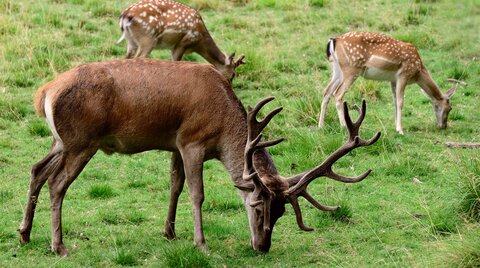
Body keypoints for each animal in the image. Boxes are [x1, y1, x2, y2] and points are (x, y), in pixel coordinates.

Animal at [16, 58, 380, 255]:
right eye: (257, 206)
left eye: (281, 213)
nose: (262, 246)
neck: (222, 127)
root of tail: (45, 92)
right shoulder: (192, 141)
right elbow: (196, 193)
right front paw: (200, 243)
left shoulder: (175, 144)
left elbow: (175, 186)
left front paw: (169, 232)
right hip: (82, 141)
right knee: (57, 183)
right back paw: (59, 246)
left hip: (61, 141)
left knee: (36, 170)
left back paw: (24, 233)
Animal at [115, 0, 244, 80]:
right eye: (233, 74)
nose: (229, 86)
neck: (199, 42)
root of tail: (125, 16)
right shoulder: (182, 44)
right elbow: (176, 62)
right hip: (147, 39)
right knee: (138, 58)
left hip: (131, 41)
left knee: (127, 57)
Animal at [318, 31, 462, 134]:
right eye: (449, 108)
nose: (443, 126)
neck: (418, 71)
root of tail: (334, 40)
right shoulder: (403, 74)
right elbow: (400, 102)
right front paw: (400, 130)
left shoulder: (393, 80)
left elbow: (394, 101)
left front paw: (395, 126)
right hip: (351, 69)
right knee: (337, 94)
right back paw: (343, 126)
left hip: (337, 69)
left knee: (327, 91)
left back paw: (321, 126)